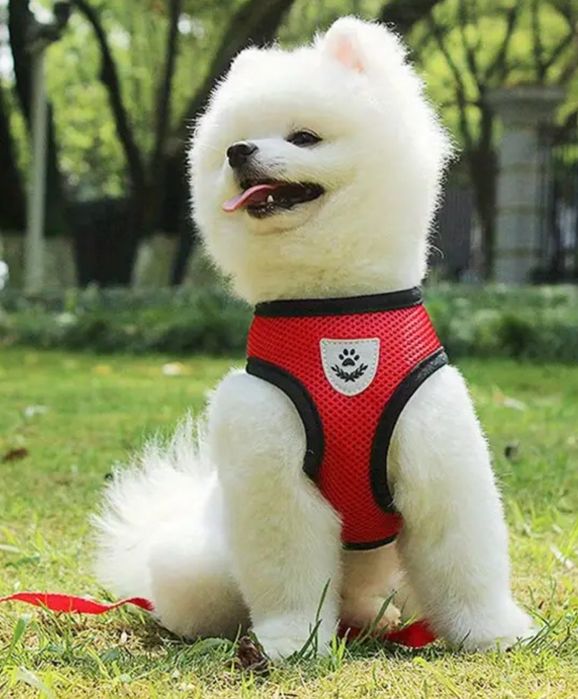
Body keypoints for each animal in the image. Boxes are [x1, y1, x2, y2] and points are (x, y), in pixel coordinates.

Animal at [94, 17, 534, 660]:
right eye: (237, 140)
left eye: (303, 137)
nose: (238, 152)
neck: (334, 311)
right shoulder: (274, 467)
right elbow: (290, 573)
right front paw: (293, 643)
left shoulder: (437, 453)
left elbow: (464, 560)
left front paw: (493, 632)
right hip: (197, 567)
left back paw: (374, 618)